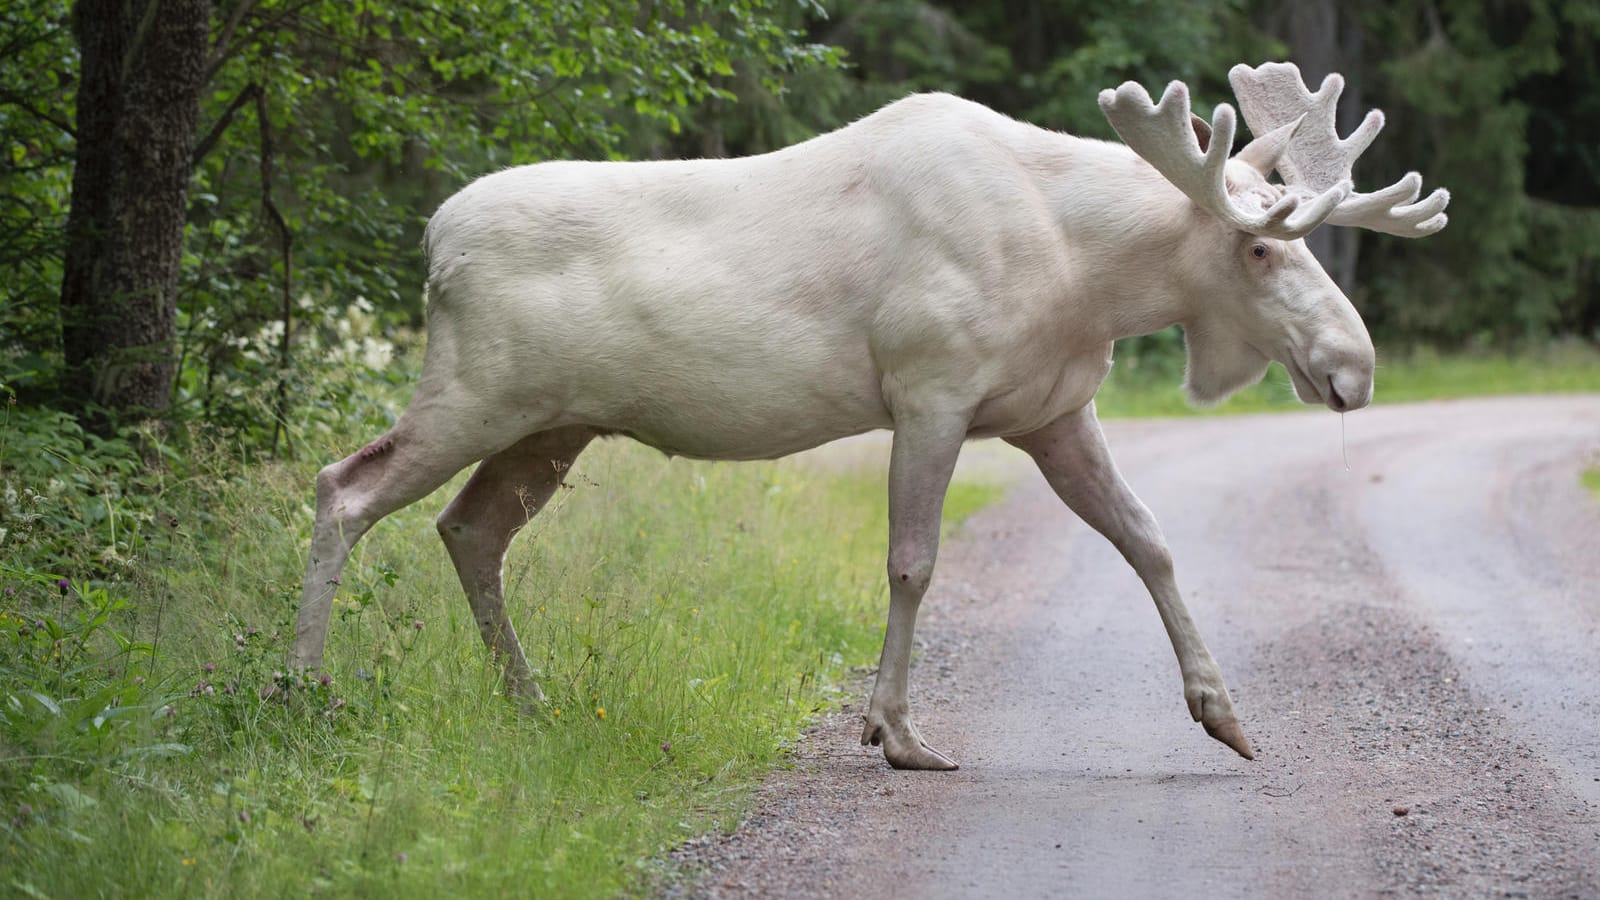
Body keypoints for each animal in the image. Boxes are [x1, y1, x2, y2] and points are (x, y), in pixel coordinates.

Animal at [291, 63, 1452, 762]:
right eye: (1258, 246)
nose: (1353, 367)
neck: (1084, 273)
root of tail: (433, 241)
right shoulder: (929, 388)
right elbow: (912, 561)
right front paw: (895, 732)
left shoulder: (1052, 412)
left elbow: (1151, 541)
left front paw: (1223, 714)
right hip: (477, 392)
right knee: (344, 486)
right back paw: (301, 689)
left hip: (551, 425)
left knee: (468, 528)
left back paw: (527, 702)